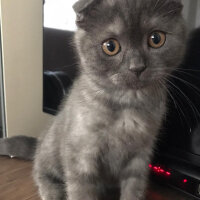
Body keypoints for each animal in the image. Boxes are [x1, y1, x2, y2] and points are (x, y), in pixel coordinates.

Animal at [0, 0, 186, 200]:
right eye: (110, 46)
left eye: (156, 38)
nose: (137, 67)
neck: (127, 105)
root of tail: (40, 142)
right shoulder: (82, 156)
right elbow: (81, 192)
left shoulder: (140, 156)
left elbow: (133, 189)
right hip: (50, 153)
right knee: (41, 174)